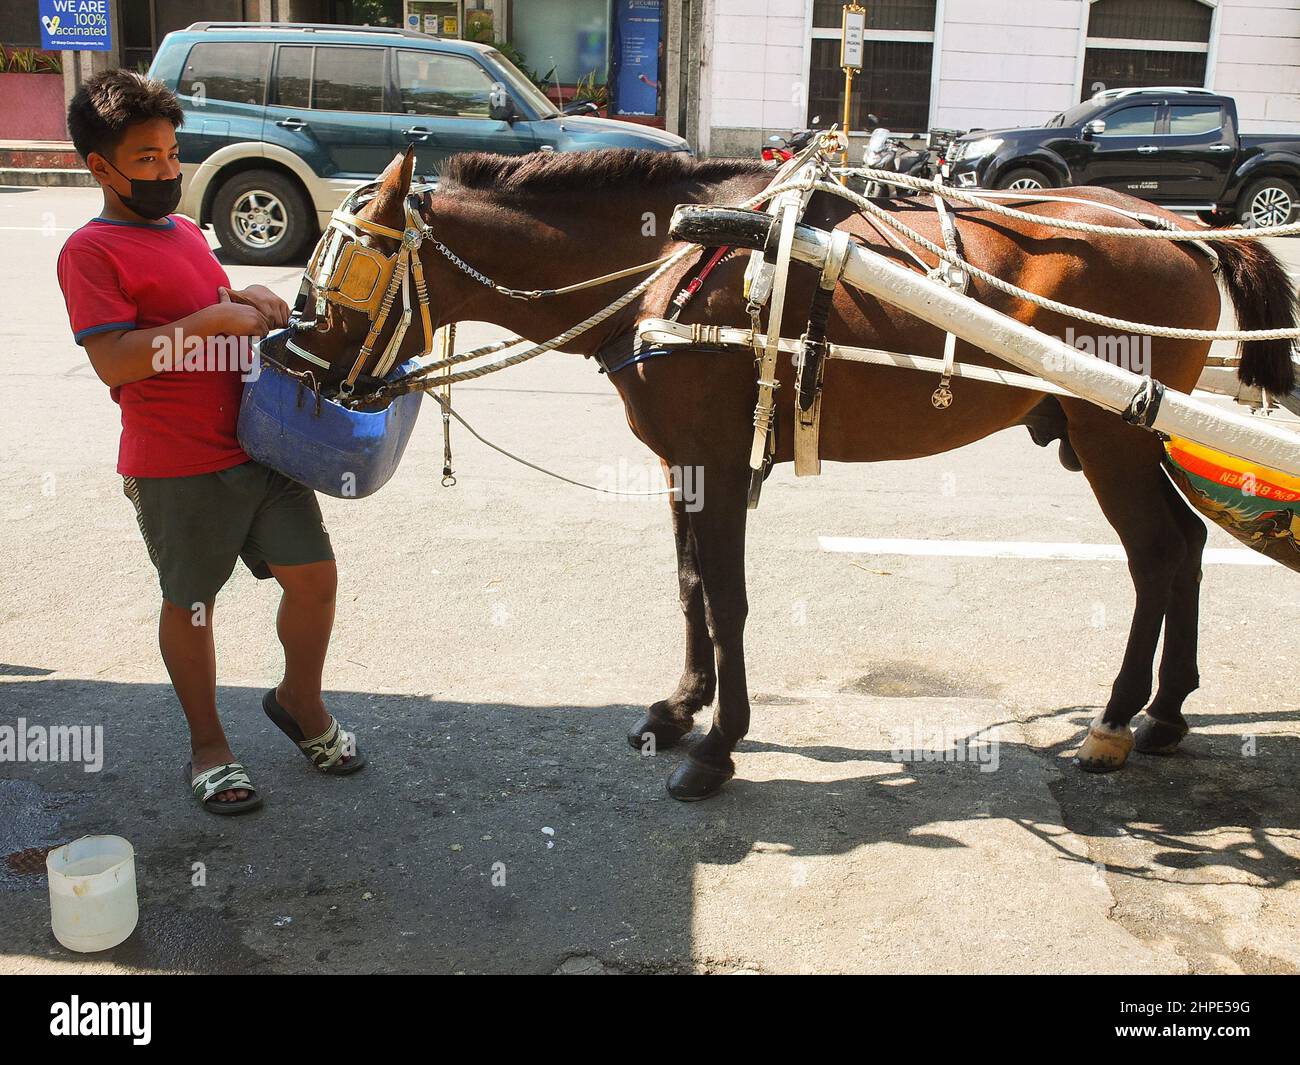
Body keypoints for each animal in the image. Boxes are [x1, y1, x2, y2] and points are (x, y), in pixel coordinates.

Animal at [266, 150, 1300, 801]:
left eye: (343, 267)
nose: (294, 354)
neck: (668, 259)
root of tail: (1187, 229)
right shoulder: (682, 458)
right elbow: (690, 583)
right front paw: (679, 706)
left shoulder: (720, 461)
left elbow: (726, 594)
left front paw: (718, 744)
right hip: (1123, 435)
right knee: (1187, 545)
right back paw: (1166, 711)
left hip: (1111, 428)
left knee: (1156, 554)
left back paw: (1118, 718)